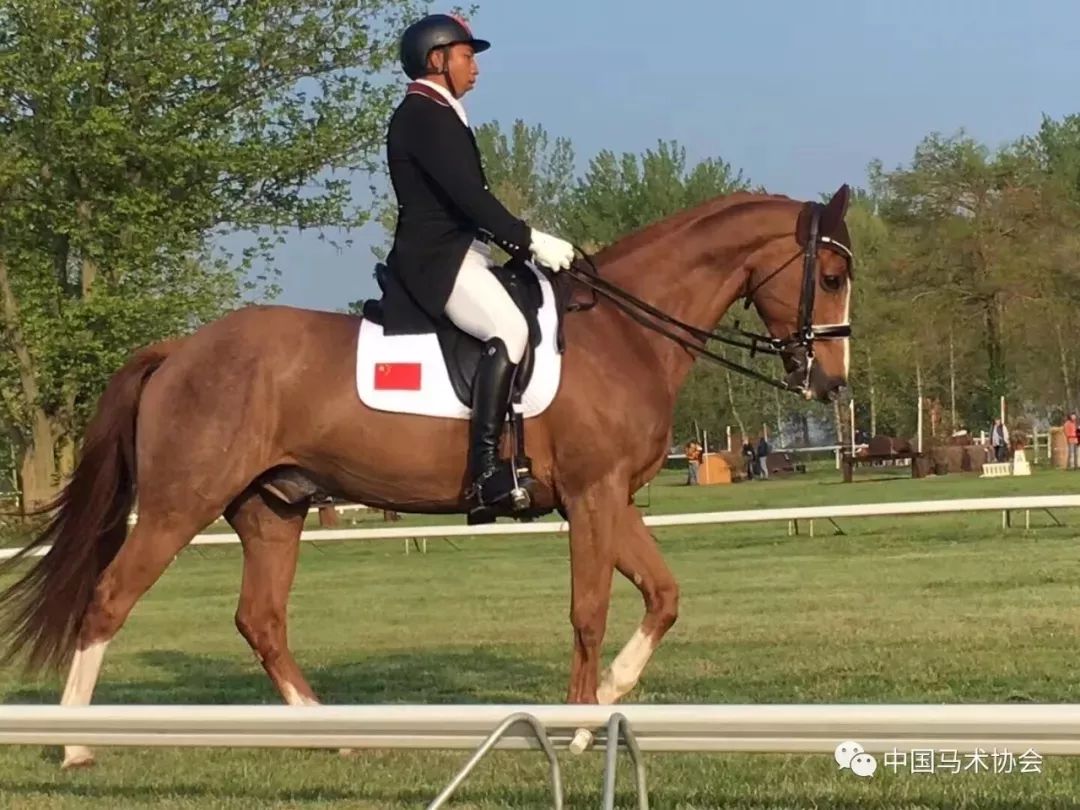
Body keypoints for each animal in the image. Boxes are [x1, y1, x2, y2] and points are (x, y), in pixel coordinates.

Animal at [2, 183, 859, 768]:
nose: (830, 384)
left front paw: (608, 701)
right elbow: (587, 611)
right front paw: (579, 725)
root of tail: (180, 348)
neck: (622, 333)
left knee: (262, 622)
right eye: (831, 275)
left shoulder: (610, 498)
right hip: (180, 505)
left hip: (271, 510)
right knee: (110, 601)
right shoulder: (591, 496)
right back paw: (75, 746)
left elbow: (664, 595)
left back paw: (333, 734)